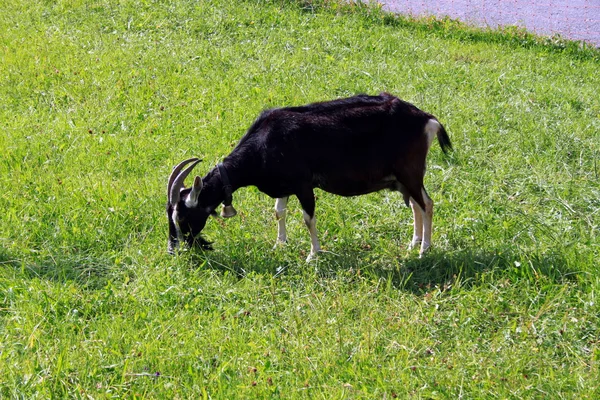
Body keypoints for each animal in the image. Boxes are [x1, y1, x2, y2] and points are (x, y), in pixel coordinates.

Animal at [164, 94, 450, 262]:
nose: (174, 249)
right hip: (401, 179)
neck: (264, 144)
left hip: (410, 172)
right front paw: (279, 244)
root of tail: (427, 120)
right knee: (415, 205)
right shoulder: (284, 186)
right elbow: (279, 212)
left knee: (427, 204)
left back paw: (424, 250)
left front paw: (313, 255)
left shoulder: (303, 185)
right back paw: (414, 243)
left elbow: (308, 218)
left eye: (181, 217)